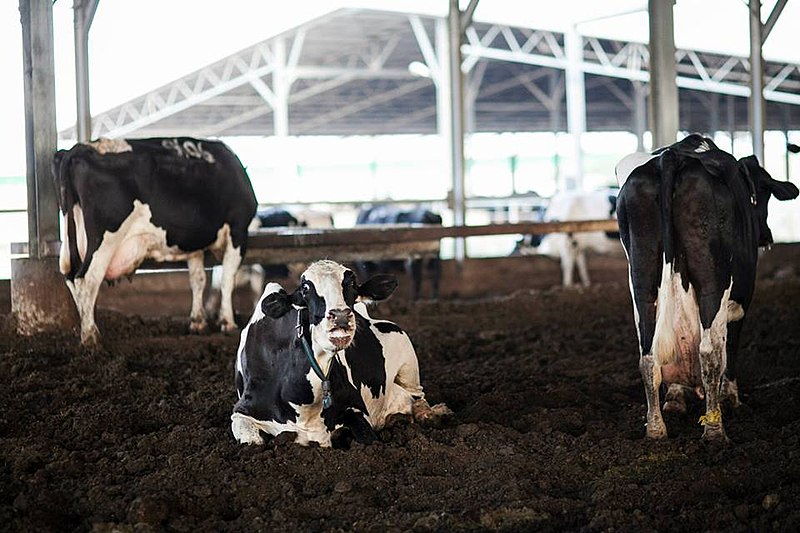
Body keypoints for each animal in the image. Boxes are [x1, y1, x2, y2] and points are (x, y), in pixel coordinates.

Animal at [52, 135, 256, 348]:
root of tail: (77, 150)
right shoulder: (238, 230)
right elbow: (227, 279)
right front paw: (228, 322)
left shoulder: (193, 245)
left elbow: (198, 279)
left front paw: (198, 322)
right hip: (105, 239)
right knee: (87, 278)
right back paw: (91, 335)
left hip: (70, 238)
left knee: (71, 277)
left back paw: (86, 328)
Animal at [231, 260, 450, 446]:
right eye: (305, 288)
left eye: (351, 284)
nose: (341, 316)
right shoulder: (242, 412)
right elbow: (252, 441)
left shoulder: (356, 408)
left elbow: (369, 438)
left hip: (408, 361)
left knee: (418, 396)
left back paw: (430, 414)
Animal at [616, 135, 796, 442]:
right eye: (764, 195)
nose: (767, 236)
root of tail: (671, 157)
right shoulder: (741, 300)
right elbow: (731, 345)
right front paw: (731, 397)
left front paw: (675, 399)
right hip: (714, 280)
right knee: (710, 352)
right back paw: (714, 431)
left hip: (641, 280)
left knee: (649, 356)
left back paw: (655, 428)